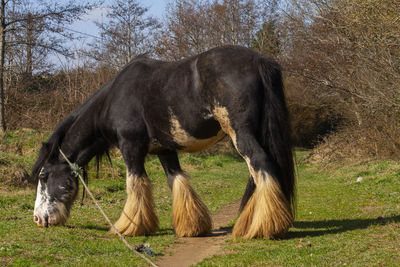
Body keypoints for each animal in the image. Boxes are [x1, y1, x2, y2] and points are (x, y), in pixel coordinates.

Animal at [31, 46, 296, 241]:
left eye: (43, 176)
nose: (38, 219)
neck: (114, 100)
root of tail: (259, 60)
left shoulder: (131, 148)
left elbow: (135, 184)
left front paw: (127, 227)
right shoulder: (165, 150)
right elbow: (177, 180)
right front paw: (192, 227)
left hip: (241, 134)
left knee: (261, 164)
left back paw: (263, 227)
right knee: (257, 172)